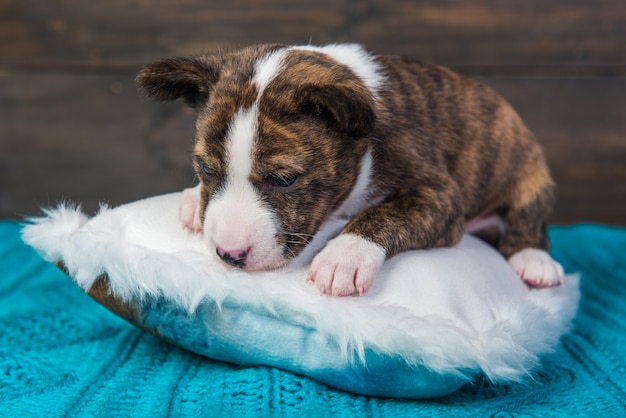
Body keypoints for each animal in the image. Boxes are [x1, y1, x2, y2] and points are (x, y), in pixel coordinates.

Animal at [135, 44, 560, 296]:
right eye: (205, 169)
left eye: (284, 179)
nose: (229, 254)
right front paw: (193, 200)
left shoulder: (439, 194)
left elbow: (385, 213)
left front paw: (345, 257)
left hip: (528, 169)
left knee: (528, 220)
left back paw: (533, 262)